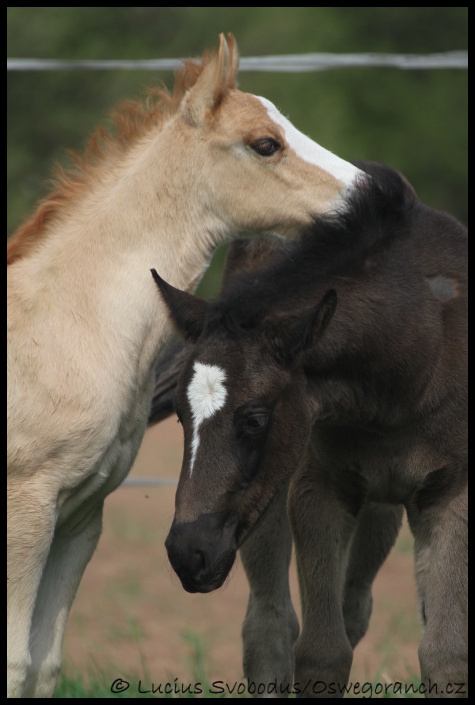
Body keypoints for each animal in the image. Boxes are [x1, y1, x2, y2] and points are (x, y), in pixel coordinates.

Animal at [6, 34, 364, 700]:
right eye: (265, 143)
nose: (375, 195)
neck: (68, 323)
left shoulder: (79, 517)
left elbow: (43, 663)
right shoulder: (28, 506)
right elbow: (16, 661)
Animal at [152, 162, 468, 696]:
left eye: (254, 418)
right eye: (180, 414)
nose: (188, 552)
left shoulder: (450, 494)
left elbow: (445, 656)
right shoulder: (317, 488)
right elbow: (321, 653)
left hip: (380, 510)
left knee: (355, 605)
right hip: (265, 503)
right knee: (270, 628)